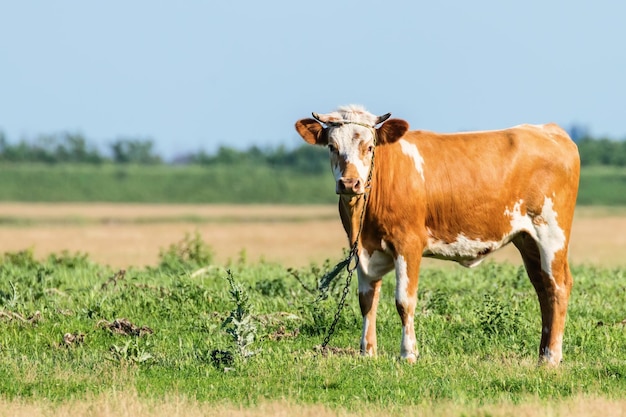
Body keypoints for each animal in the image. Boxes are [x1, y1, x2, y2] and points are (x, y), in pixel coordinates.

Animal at [294, 104, 576, 364]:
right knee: (542, 289)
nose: (350, 183)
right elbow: (367, 300)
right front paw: (367, 352)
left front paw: (408, 354)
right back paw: (542, 355)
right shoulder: (363, 250)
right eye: (332, 146)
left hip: (551, 234)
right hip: (527, 240)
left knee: (557, 287)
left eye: (370, 147)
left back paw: (552, 357)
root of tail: (549, 130)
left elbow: (404, 301)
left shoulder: (408, 244)